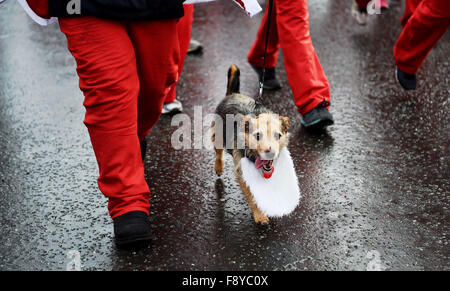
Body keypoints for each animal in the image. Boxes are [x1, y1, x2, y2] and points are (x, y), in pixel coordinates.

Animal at [212, 65, 290, 226]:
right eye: (257, 136)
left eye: (278, 135)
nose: (270, 152)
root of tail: (232, 94)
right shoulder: (243, 174)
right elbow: (253, 196)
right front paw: (260, 215)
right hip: (218, 136)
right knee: (218, 152)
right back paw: (218, 166)